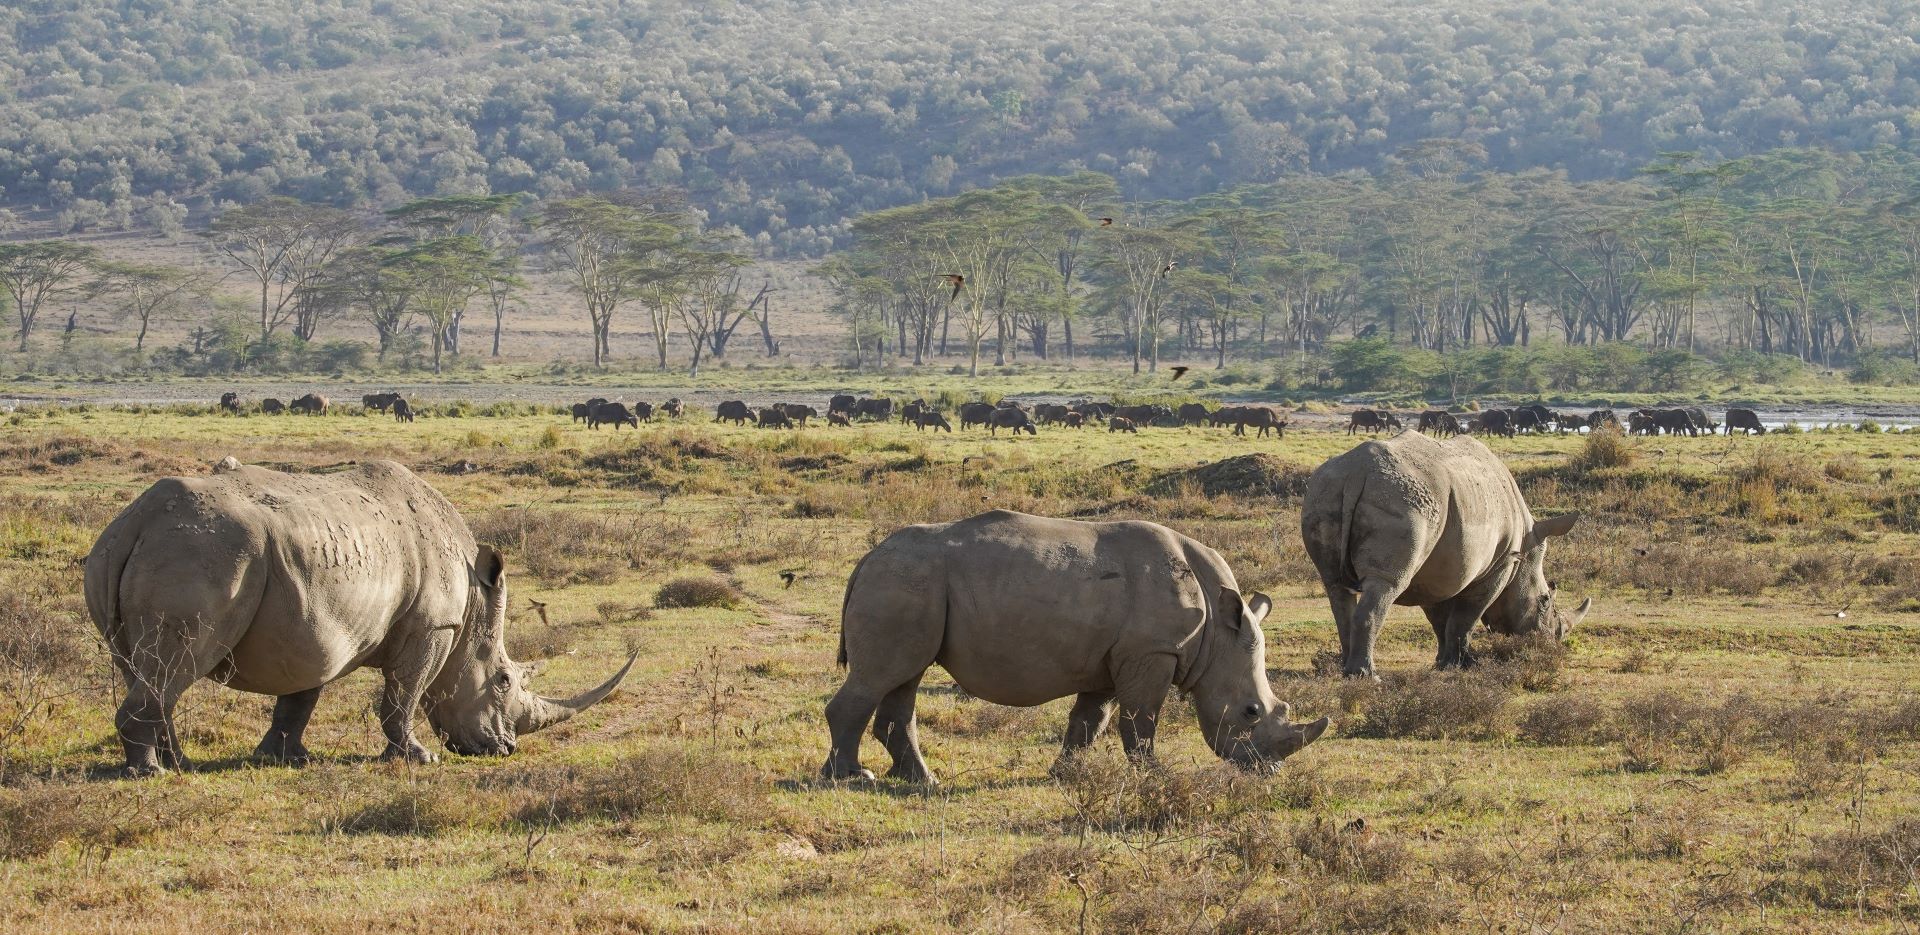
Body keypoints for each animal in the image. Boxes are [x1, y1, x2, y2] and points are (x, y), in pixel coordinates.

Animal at [84, 459, 633, 776]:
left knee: (150, 672)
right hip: (206, 555)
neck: (474, 605)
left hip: (134, 553)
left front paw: (288, 759)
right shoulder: (433, 626)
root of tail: (136, 521)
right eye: (502, 680)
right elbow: (404, 695)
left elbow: (299, 697)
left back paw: (179, 765)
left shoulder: (310, 627)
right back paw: (150, 773)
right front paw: (418, 757)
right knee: (177, 667)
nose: (505, 749)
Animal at [822, 510, 1330, 783]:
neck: (1216, 636)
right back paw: (852, 778)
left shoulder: (1114, 657)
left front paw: (1063, 775)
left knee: (904, 677)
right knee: (881, 676)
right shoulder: (1151, 651)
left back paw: (921, 780)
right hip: (903, 581)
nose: (1267, 772)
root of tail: (867, 557)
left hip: (910, 584)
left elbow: (1090, 720)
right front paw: (1155, 777)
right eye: (1250, 712)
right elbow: (1141, 720)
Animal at [1301, 432, 1590, 676]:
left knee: (1335, 586)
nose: (1551, 642)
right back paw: (1368, 677)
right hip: (1402, 501)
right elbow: (1465, 618)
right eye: (1544, 601)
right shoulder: (1500, 565)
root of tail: (1358, 472)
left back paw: (1346, 671)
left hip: (1323, 492)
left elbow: (1440, 619)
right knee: (1386, 584)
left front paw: (1443, 664)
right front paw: (1465, 665)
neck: (1526, 547)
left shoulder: (1434, 571)